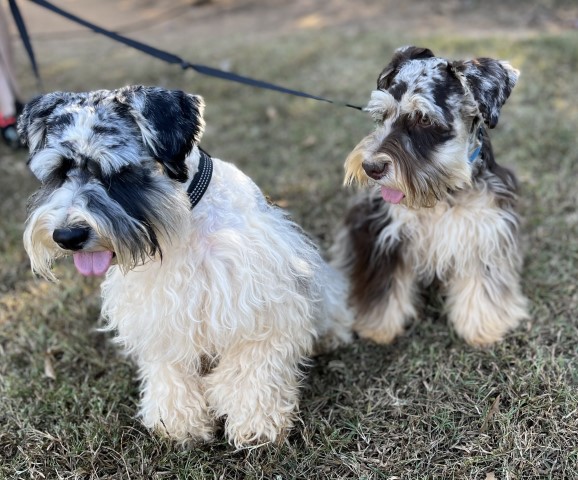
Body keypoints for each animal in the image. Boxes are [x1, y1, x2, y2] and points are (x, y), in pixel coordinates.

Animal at [19, 85, 352, 446]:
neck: (182, 218)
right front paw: (178, 421)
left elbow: (251, 366)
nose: (67, 236)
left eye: (121, 173)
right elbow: (170, 369)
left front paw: (254, 421)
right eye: (59, 172)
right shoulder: (162, 313)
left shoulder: (262, 306)